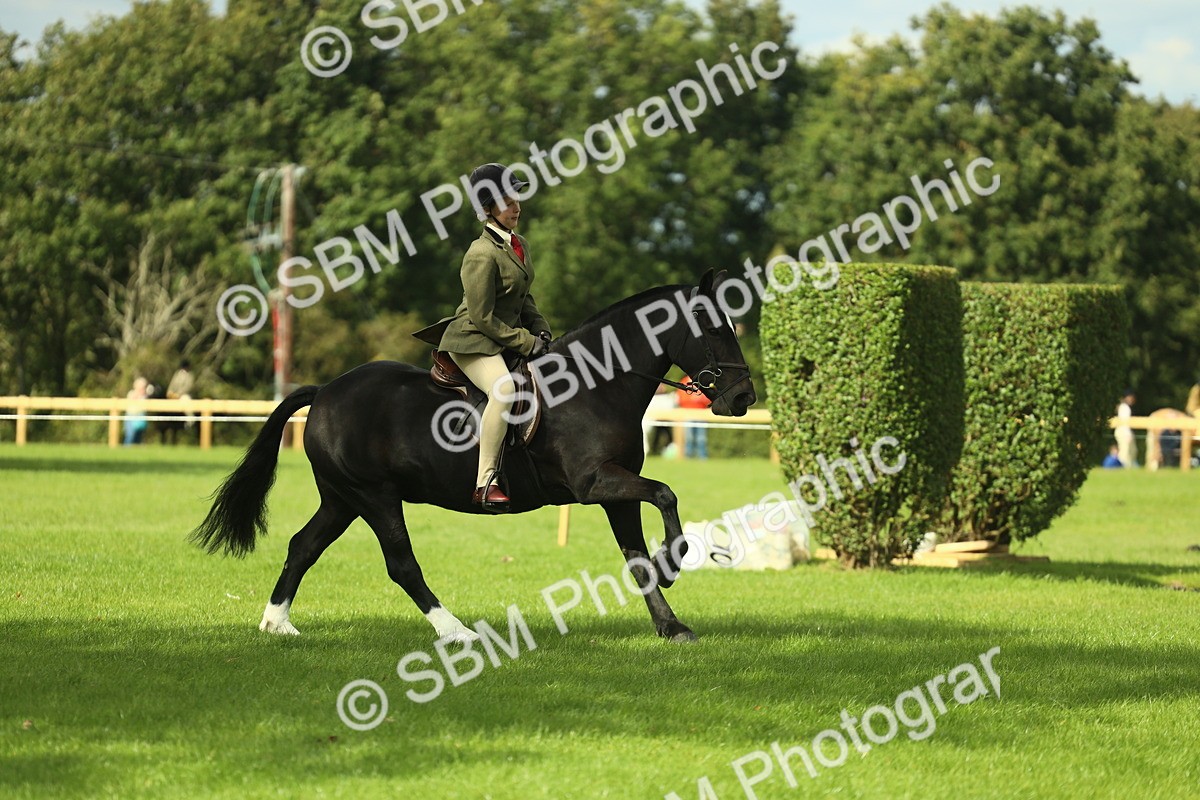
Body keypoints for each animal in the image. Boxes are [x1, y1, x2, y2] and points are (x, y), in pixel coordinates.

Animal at [190, 270, 757, 643]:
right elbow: (666, 493)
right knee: (401, 563)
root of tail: (326, 391)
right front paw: (675, 561)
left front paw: (670, 623)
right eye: (714, 328)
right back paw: (456, 631)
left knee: (304, 546)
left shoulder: (615, 488)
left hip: (341, 499)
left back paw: (277, 623)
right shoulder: (594, 483)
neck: (597, 384)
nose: (743, 398)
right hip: (374, 497)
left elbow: (637, 554)